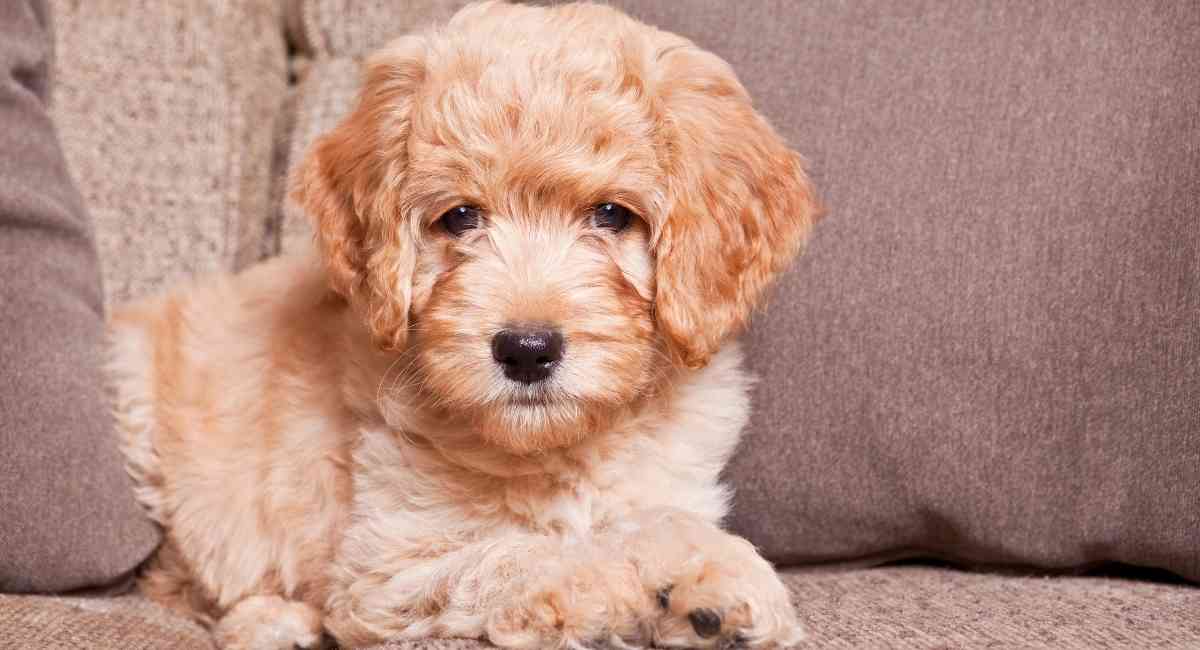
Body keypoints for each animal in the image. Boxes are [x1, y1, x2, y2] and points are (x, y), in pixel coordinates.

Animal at [108, 2, 820, 647]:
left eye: (612, 215)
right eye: (459, 217)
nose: (527, 350)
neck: (558, 449)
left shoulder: (664, 481)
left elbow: (659, 518)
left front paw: (716, 579)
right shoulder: (386, 566)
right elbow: (513, 555)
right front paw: (618, 589)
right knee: (177, 577)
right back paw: (270, 622)